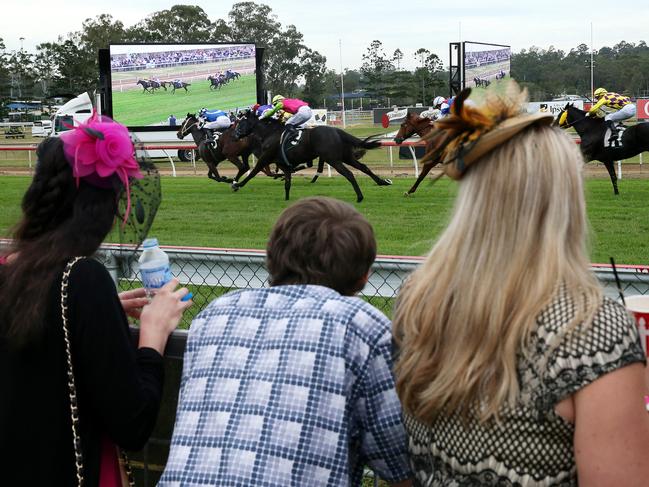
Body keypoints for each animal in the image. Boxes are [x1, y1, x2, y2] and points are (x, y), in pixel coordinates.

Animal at [235, 111, 392, 202]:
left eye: (241, 122)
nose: (235, 135)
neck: (270, 133)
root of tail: (337, 131)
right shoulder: (283, 164)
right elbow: (287, 182)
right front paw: (287, 199)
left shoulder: (266, 158)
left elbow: (254, 172)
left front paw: (237, 184)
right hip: (346, 157)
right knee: (364, 168)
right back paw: (382, 182)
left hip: (332, 159)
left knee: (349, 174)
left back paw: (360, 197)